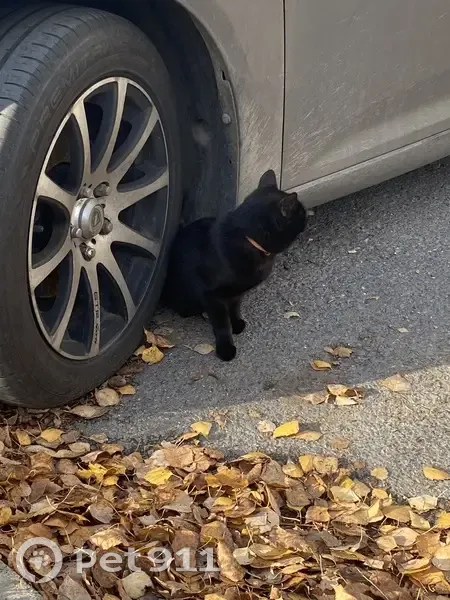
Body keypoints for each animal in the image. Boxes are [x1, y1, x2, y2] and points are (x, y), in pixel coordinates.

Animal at [163, 169, 307, 361]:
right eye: (301, 213)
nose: (307, 216)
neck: (247, 237)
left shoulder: (237, 292)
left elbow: (235, 308)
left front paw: (237, 323)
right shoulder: (212, 295)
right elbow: (221, 324)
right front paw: (226, 347)